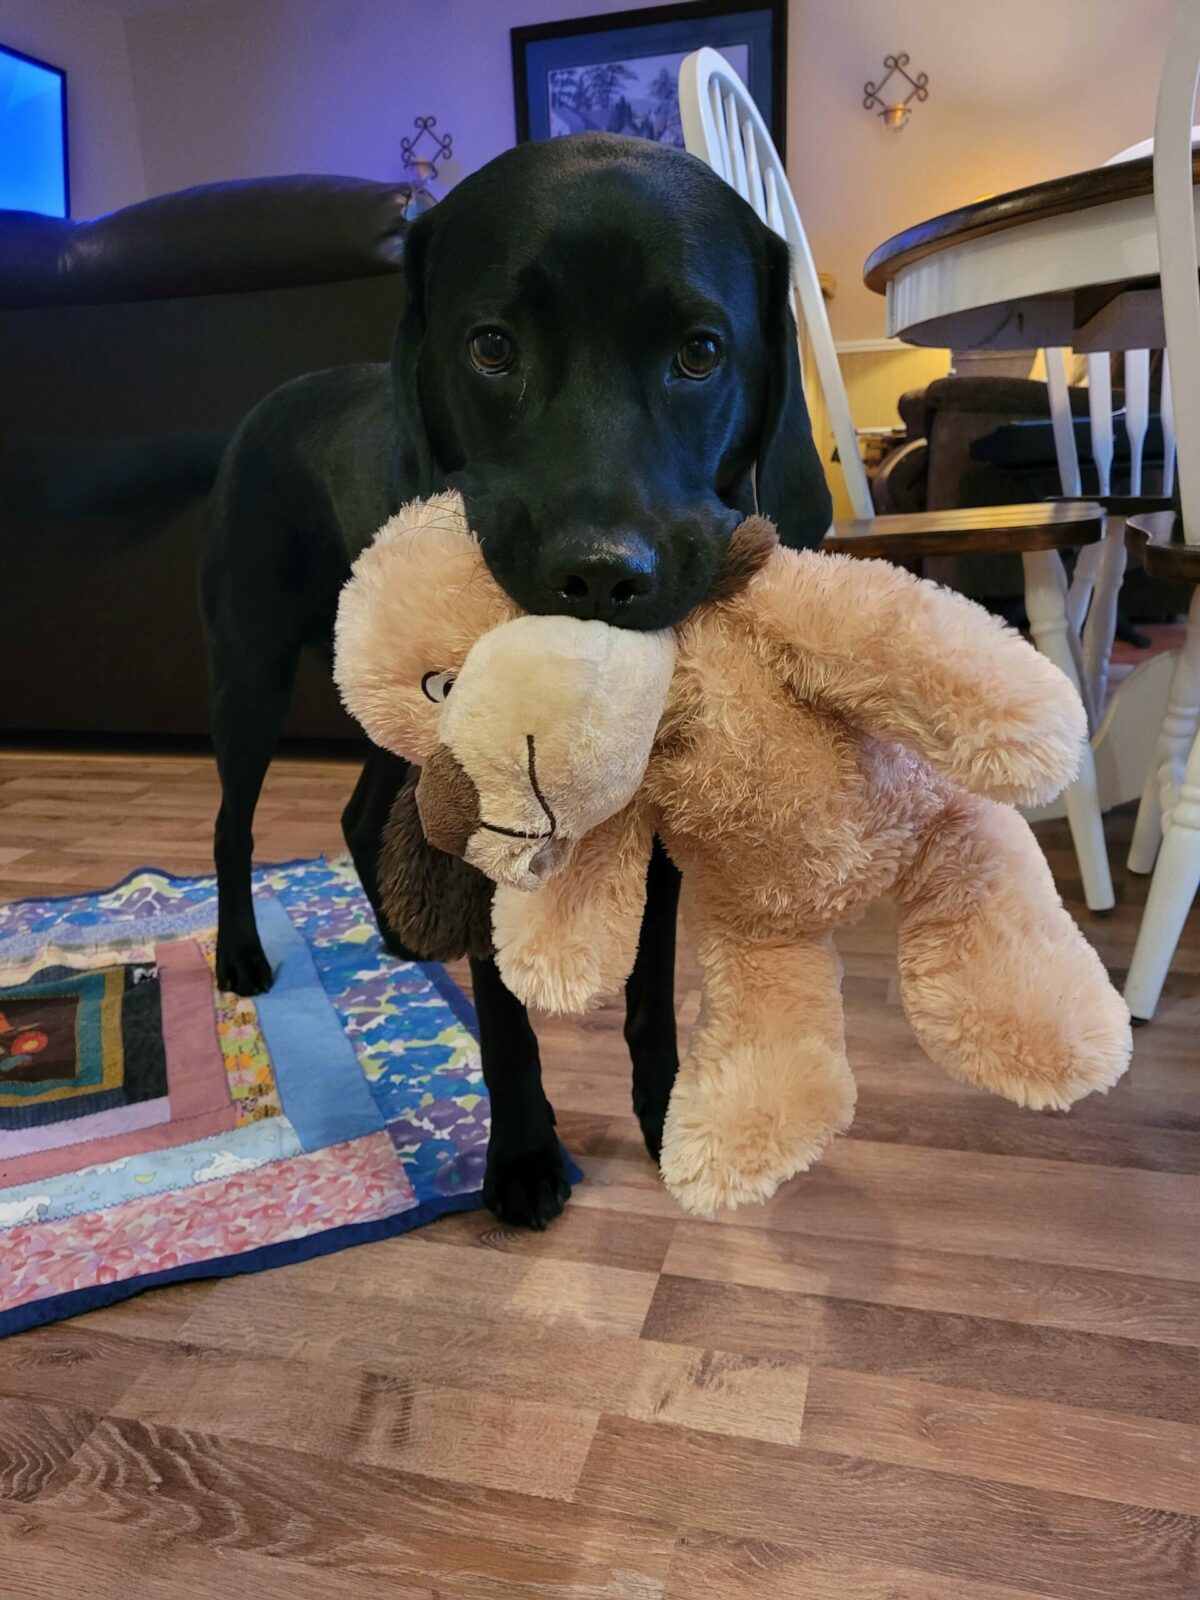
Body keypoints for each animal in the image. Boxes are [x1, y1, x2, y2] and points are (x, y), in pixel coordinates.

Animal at [202, 134, 832, 1222]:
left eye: (700, 353)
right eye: (491, 347)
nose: (602, 576)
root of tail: (266, 404)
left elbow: (651, 995)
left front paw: (665, 1113)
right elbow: (501, 1007)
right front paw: (526, 1152)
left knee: (360, 813)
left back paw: (401, 934)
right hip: (253, 673)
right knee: (233, 821)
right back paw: (241, 950)